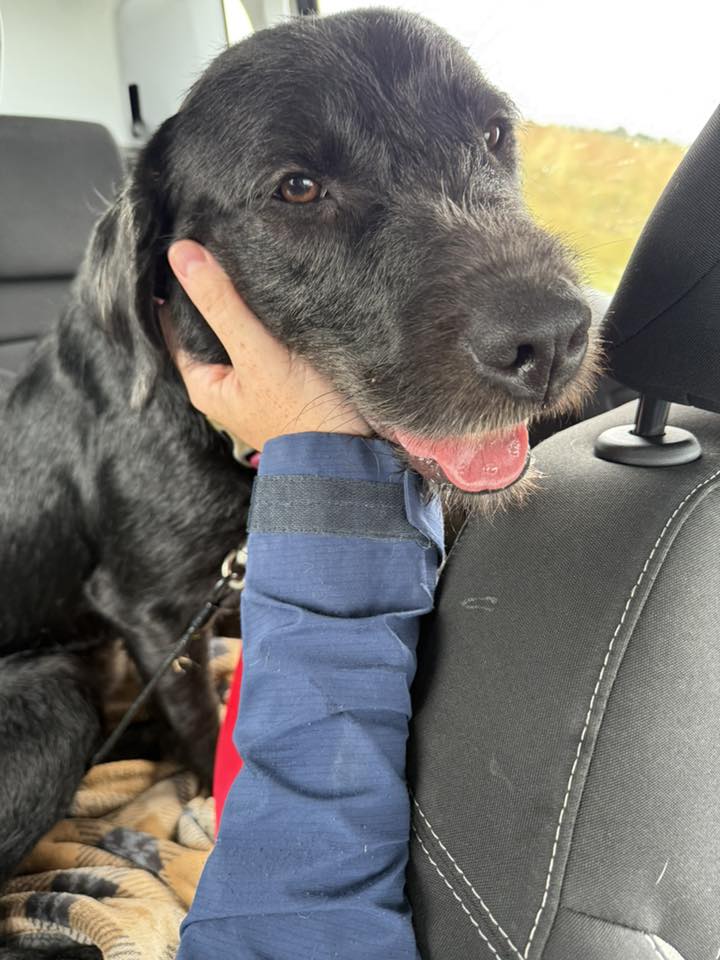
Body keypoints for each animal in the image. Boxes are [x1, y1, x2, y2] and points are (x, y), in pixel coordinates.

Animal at [0, 8, 597, 884]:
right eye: (299, 188)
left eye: (494, 133)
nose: (553, 339)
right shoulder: (150, 609)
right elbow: (199, 715)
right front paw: (212, 799)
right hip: (51, 700)